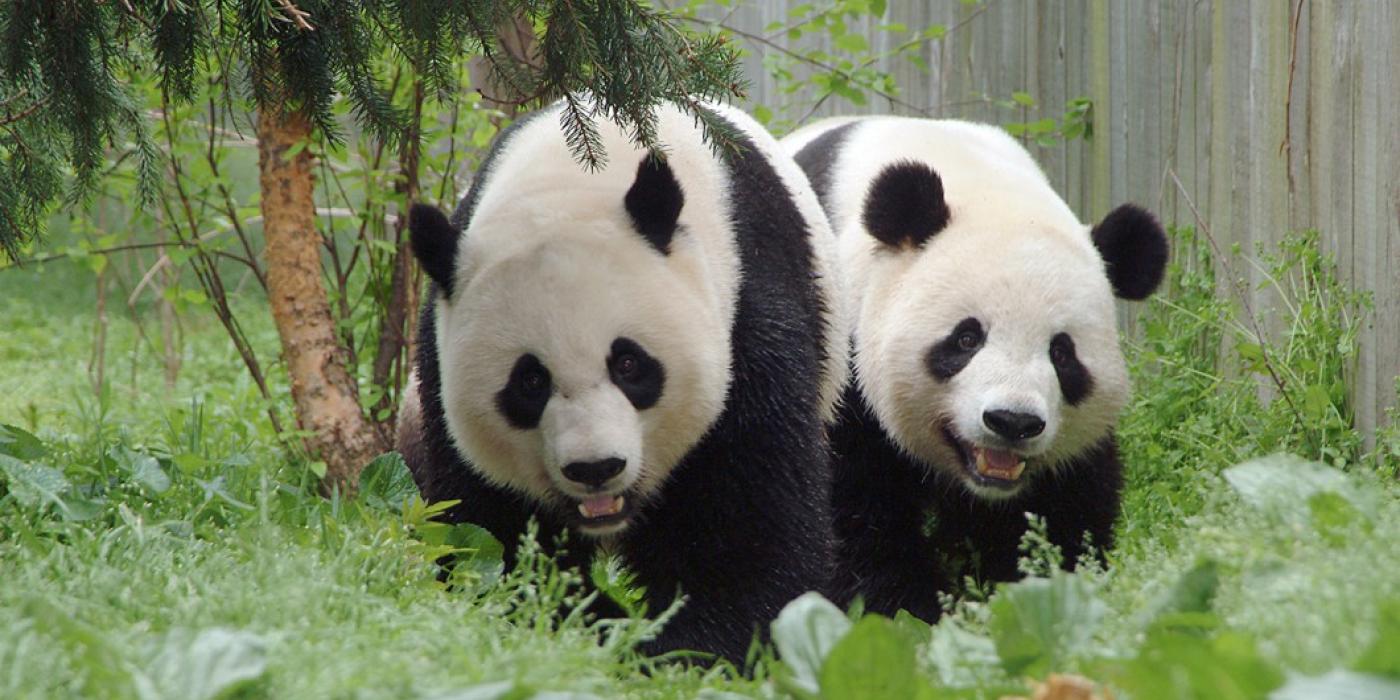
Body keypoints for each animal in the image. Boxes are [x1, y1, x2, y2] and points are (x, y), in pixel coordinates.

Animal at [400, 97, 845, 660]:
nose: (595, 468)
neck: (578, 173)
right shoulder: (439, 358)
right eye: (530, 383)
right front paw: (582, 626)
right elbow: (492, 529)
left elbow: (747, 521)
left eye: (629, 365)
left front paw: (687, 647)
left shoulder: (746, 307)